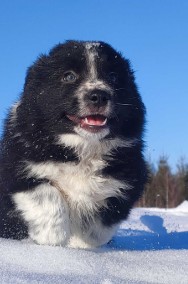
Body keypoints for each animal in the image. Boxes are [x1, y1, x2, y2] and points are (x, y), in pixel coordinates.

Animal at [0, 40, 147, 248]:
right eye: (69, 76)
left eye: (113, 76)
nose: (98, 95)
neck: (83, 147)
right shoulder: (15, 166)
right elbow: (46, 195)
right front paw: (52, 236)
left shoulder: (129, 175)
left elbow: (104, 217)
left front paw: (82, 242)